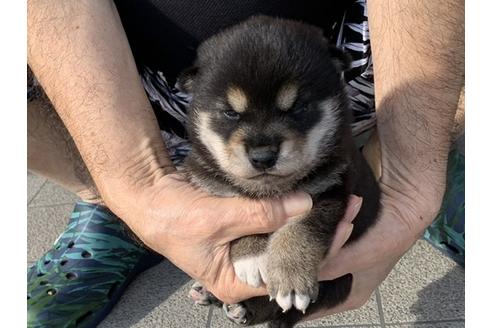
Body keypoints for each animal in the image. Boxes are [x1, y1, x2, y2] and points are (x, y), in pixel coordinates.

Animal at [180, 16, 380, 328]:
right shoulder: (218, 195)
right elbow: (241, 212)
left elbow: (301, 229)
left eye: (297, 108)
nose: (263, 157)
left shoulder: (330, 188)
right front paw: (251, 257)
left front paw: (290, 278)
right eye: (231, 113)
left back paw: (240, 308)